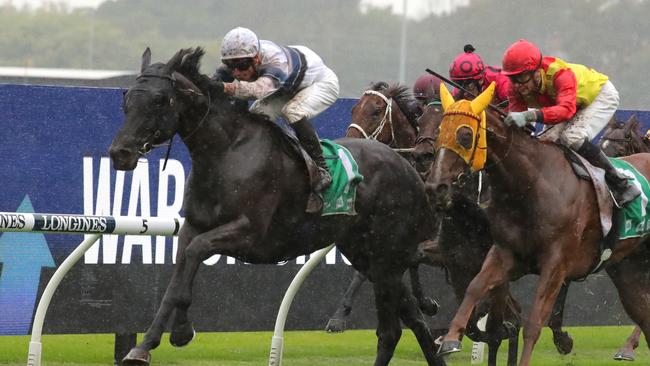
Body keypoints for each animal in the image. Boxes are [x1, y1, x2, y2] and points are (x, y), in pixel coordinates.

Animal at [110, 48, 446, 366]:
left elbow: (196, 254)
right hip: (368, 256)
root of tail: (407, 166)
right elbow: (176, 281)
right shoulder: (192, 227)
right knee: (414, 320)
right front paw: (149, 343)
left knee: (391, 331)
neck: (228, 152)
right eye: (126, 98)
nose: (120, 153)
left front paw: (175, 334)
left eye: (159, 100)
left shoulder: (250, 234)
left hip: (386, 257)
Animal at [426, 81, 648, 364]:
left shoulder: (556, 264)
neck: (533, 184)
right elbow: (475, 288)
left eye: (465, 135)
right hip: (628, 270)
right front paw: (451, 339)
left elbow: (533, 323)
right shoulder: (506, 253)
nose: (435, 187)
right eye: (439, 132)